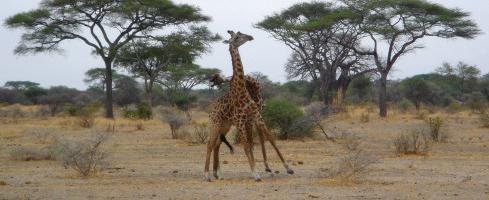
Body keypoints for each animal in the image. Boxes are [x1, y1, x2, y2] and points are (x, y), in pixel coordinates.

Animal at [203, 30, 294, 182]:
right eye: (237, 37)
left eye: (240, 33)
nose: (250, 37)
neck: (243, 92)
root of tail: (212, 109)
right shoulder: (241, 121)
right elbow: (247, 146)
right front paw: (256, 173)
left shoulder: (256, 117)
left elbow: (269, 139)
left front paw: (288, 168)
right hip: (215, 124)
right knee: (210, 144)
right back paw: (207, 175)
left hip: (225, 126)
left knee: (216, 144)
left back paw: (218, 174)